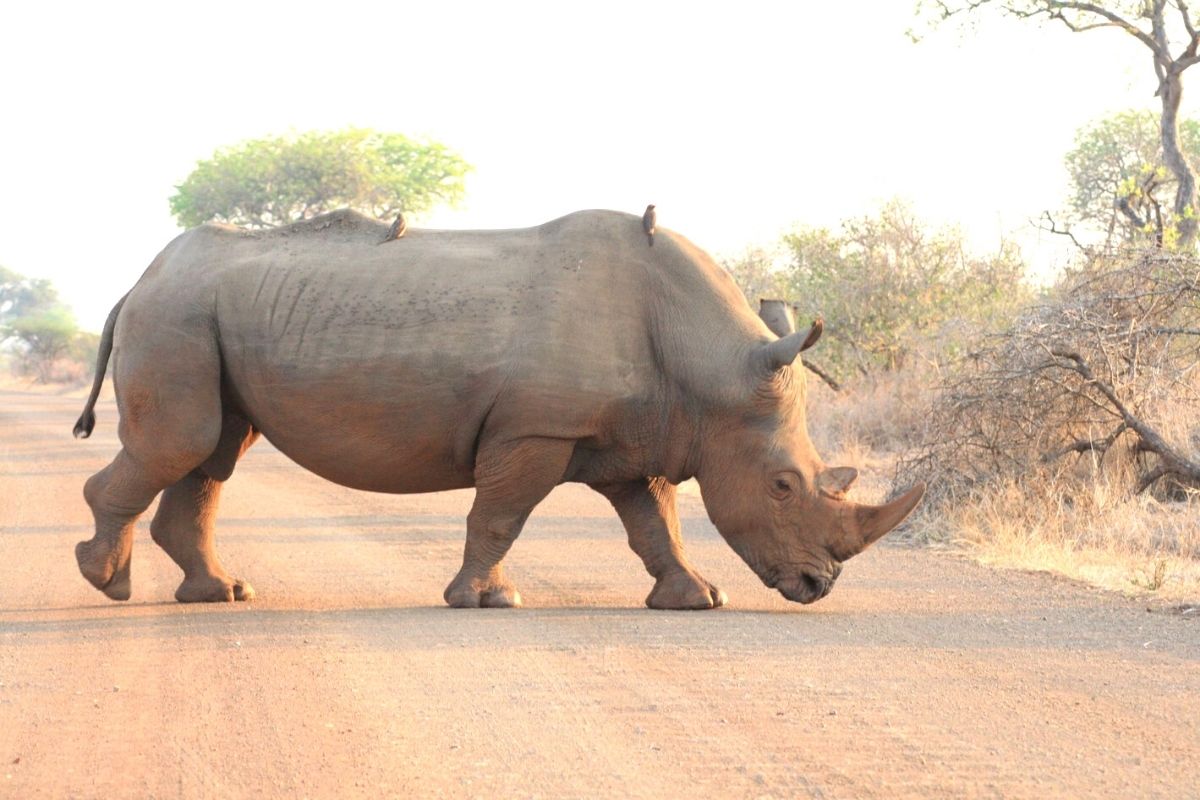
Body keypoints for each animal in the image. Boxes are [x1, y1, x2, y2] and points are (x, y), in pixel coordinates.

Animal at [72, 209, 916, 609]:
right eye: (782, 485)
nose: (817, 587)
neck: (709, 363)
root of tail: (138, 281)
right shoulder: (535, 428)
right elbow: (501, 514)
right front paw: (485, 600)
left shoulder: (629, 435)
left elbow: (655, 523)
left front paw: (698, 599)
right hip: (177, 314)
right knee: (183, 444)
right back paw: (106, 581)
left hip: (200, 314)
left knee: (212, 453)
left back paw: (221, 593)